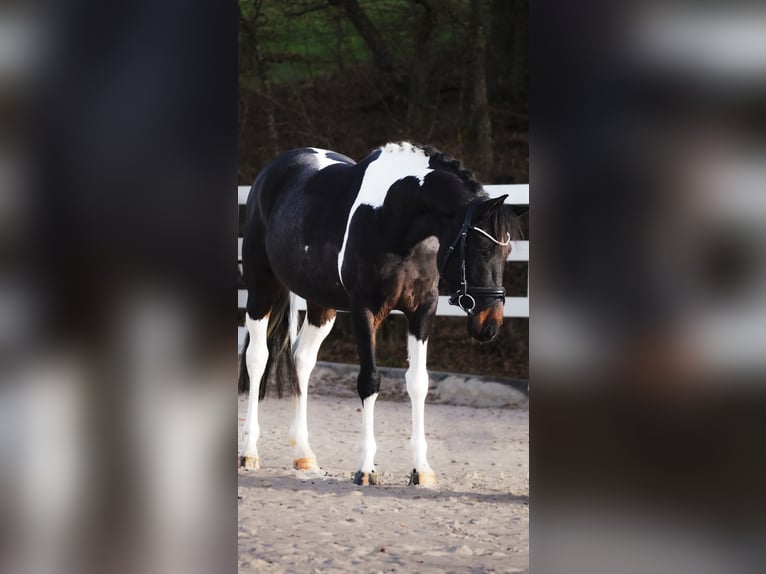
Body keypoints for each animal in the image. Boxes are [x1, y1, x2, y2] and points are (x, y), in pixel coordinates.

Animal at [237, 143, 520, 486]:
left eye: (507, 252)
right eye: (481, 250)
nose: (489, 324)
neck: (393, 218)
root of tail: (272, 170)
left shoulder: (422, 311)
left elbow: (418, 382)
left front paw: (421, 469)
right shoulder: (365, 311)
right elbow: (369, 381)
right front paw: (366, 469)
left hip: (321, 305)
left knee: (301, 360)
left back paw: (304, 455)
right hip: (261, 288)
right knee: (257, 357)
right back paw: (249, 452)